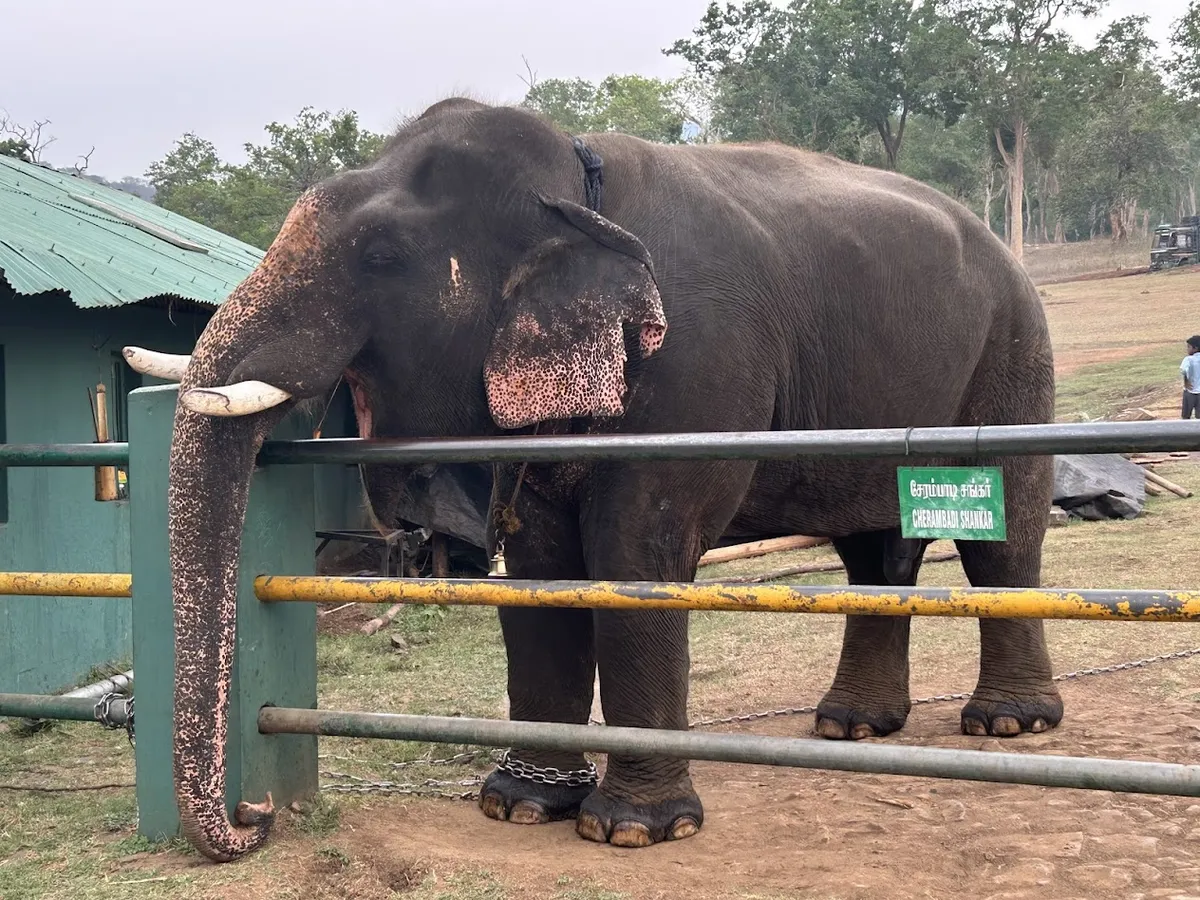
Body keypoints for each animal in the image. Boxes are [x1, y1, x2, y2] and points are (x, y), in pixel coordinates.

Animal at [124, 96, 1059, 863]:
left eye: (382, 255)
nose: (255, 817)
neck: (576, 182)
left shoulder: (697, 359)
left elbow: (633, 551)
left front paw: (633, 830)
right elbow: (544, 565)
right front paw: (519, 806)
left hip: (1016, 350)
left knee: (1005, 532)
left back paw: (1006, 721)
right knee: (876, 551)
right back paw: (851, 725)